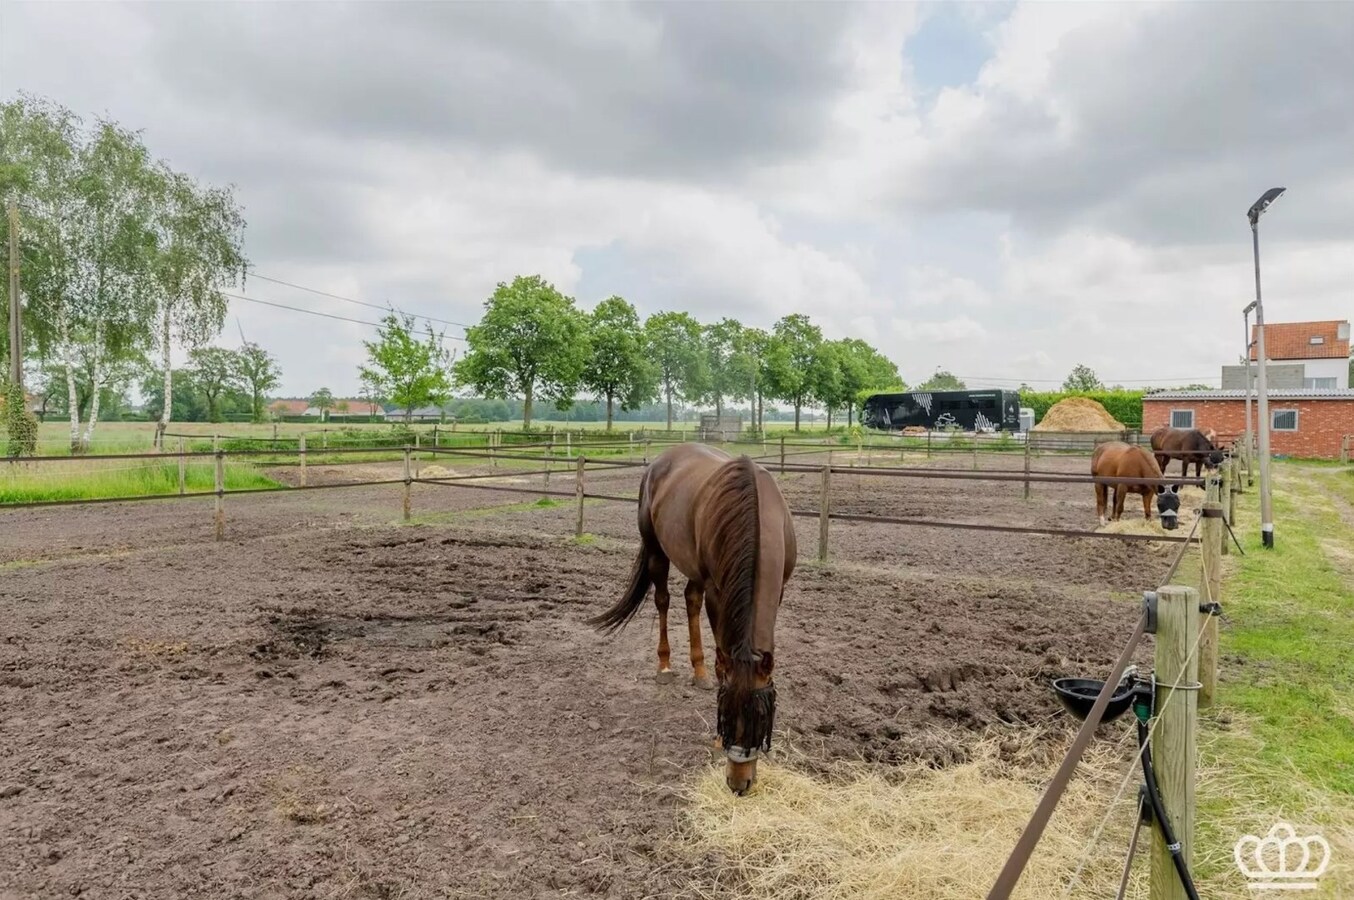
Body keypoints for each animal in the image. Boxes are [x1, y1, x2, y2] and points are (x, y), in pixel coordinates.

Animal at [587, 443, 797, 795]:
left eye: (761, 719)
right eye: (723, 716)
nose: (738, 784)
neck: (756, 514)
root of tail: (661, 460)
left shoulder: (778, 588)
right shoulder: (717, 592)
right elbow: (722, 657)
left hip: (693, 566)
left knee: (690, 600)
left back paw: (698, 672)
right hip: (657, 551)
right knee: (663, 600)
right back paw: (665, 666)